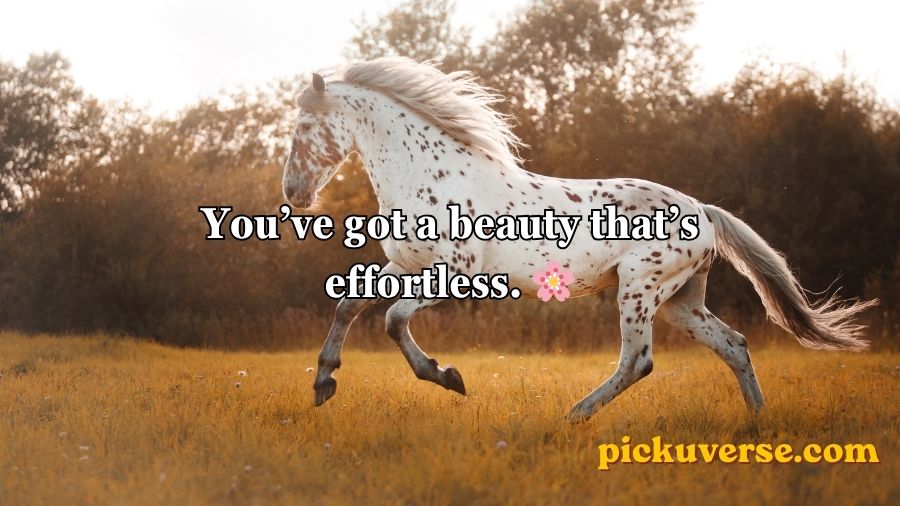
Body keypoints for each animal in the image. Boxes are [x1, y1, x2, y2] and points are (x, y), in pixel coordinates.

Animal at [282, 57, 875, 421]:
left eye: (304, 128)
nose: (293, 192)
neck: (433, 173)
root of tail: (704, 212)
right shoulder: (406, 266)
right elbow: (349, 304)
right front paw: (323, 384)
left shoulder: (456, 274)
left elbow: (392, 319)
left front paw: (448, 377)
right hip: (681, 302)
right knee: (734, 345)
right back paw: (756, 423)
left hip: (638, 289)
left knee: (638, 361)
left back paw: (573, 416)